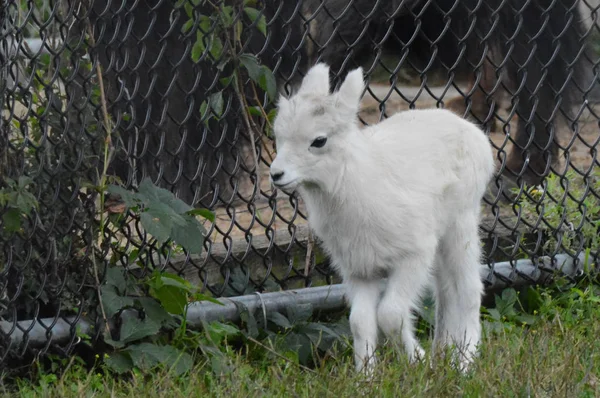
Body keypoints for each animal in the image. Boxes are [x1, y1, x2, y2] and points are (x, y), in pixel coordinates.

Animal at [270, 63, 494, 374]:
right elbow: (359, 322)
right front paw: (366, 376)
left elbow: (390, 314)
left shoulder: (414, 257)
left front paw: (418, 362)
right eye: (278, 135)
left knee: (469, 289)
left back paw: (464, 364)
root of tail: (476, 136)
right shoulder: (361, 271)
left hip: (460, 223)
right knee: (445, 291)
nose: (276, 175)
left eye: (319, 140)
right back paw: (443, 353)